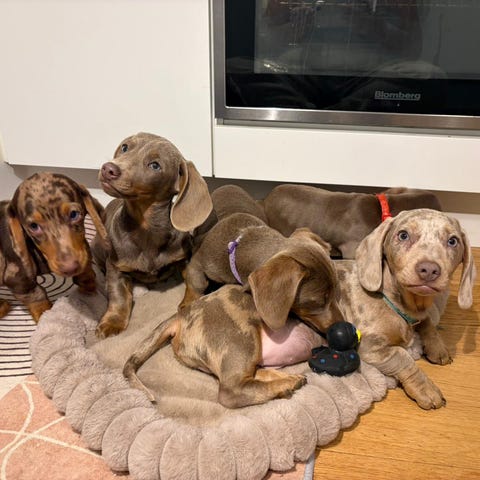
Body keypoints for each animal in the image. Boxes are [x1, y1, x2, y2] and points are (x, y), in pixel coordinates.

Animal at [0, 172, 107, 321]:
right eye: (34, 226)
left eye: (74, 214)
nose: (70, 268)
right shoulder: (18, 277)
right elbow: (37, 297)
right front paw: (45, 316)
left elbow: (86, 269)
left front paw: (88, 285)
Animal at [91, 132, 213, 338]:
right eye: (125, 147)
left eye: (155, 165)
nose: (108, 169)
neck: (146, 227)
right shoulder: (115, 267)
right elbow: (118, 295)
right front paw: (112, 321)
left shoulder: (186, 257)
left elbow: (193, 279)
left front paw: (191, 302)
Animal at [124, 220, 343, 408]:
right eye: (317, 302)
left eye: (336, 292)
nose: (341, 327)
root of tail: (179, 318)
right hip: (241, 339)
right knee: (231, 391)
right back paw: (287, 384)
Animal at [334, 208, 476, 409]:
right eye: (403, 235)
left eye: (452, 241)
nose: (429, 270)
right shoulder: (370, 347)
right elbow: (404, 358)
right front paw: (426, 389)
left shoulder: (419, 316)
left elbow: (428, 323)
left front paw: (437, 348)